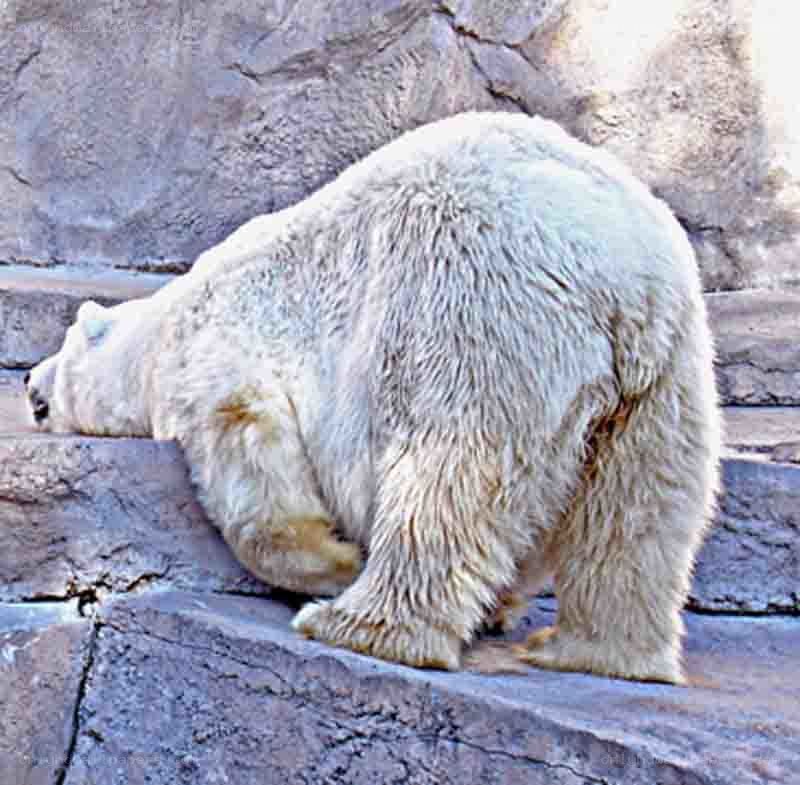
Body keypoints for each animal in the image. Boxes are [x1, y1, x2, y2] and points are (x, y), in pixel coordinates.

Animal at [26, 111, 721, 684]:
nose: (28, 383)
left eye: (61, 349)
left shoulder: (217, 351)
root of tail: (619, 271)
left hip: (471, 308)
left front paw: (335, 560)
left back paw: (356, 624)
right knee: (644, 509)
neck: (160, 329)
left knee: (445, 477)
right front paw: (498, 607)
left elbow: (251, 460)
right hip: (667, 370)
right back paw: (592, 650)